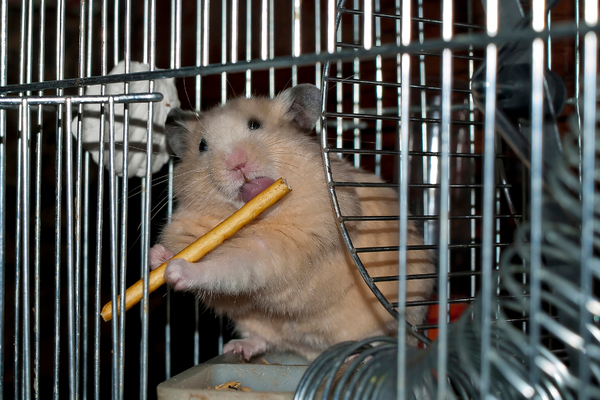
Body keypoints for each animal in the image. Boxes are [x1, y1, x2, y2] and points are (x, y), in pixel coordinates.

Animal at [148, 83, 434, 360]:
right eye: (202, 146)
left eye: (255, 125)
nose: (236, 164)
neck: (254, 217)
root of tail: (310, 349)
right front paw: (158, 256)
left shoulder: (274, 250)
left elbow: (226, 267)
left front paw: (175, 271)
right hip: (254, 324)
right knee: (262, 340)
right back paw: (238, 348)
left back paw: (360, 356)